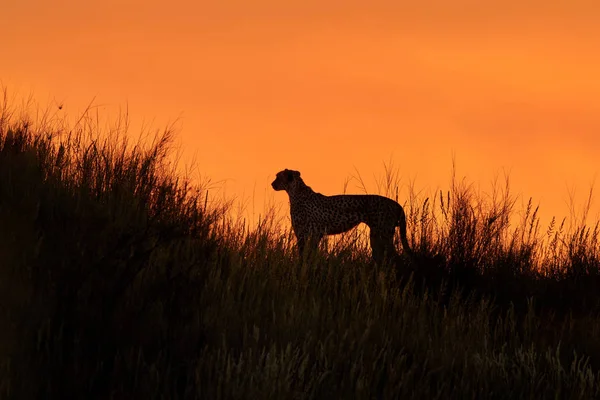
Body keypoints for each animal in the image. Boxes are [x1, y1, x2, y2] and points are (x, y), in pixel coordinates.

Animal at [270, 168, 412, 264]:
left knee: (394, 257)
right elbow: (310, 254)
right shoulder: (314, 234)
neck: (295, 192)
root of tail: (396, 203)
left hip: (384, 234)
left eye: (278, 177)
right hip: (377, 235)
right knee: (382, 256)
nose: (272, 184)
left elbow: (304, 254)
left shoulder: (305, 234)